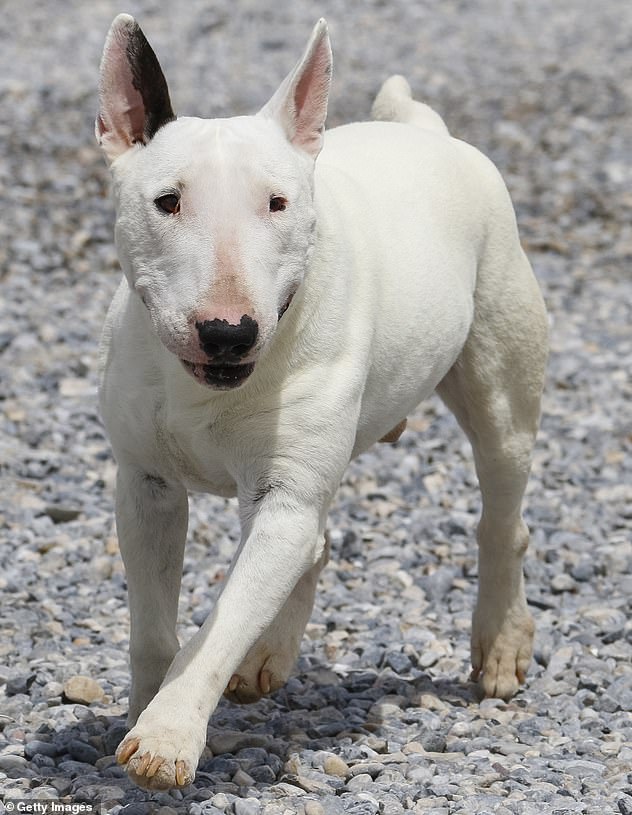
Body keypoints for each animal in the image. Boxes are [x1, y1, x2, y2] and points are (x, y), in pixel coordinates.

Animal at [95, 12, 548, 792]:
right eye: (168, 200)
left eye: (277, 203)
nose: (227, 333)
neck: (205, 387)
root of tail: (425, 129)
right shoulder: (145, 483)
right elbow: (154, 624)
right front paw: (144, 707)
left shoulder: (282, 496)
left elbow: (222, 619)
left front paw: (166, 733)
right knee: (316, 542)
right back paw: (266, 655)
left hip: (500, 383)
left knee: (501, 514)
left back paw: (500, 642)